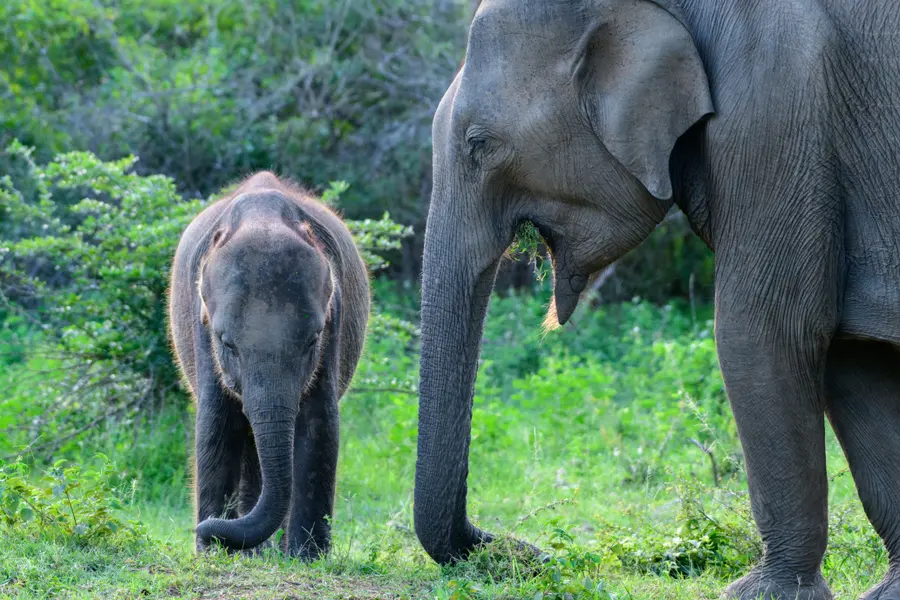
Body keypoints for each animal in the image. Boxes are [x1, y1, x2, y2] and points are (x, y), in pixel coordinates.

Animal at [168, 171, 370, 558]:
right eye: (226, 343)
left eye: (313, 340)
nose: (204, 529)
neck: (261, 216)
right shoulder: (200, 323)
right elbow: (217, 422)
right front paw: (211, 553)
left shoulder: (334, 317)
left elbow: (319, 422)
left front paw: (308, 558)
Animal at [415, 1, 900, 599]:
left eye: (478, 143)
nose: (531, 552)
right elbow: (853, 358)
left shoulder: (776, 112)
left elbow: (764, 332)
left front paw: (760, 594)